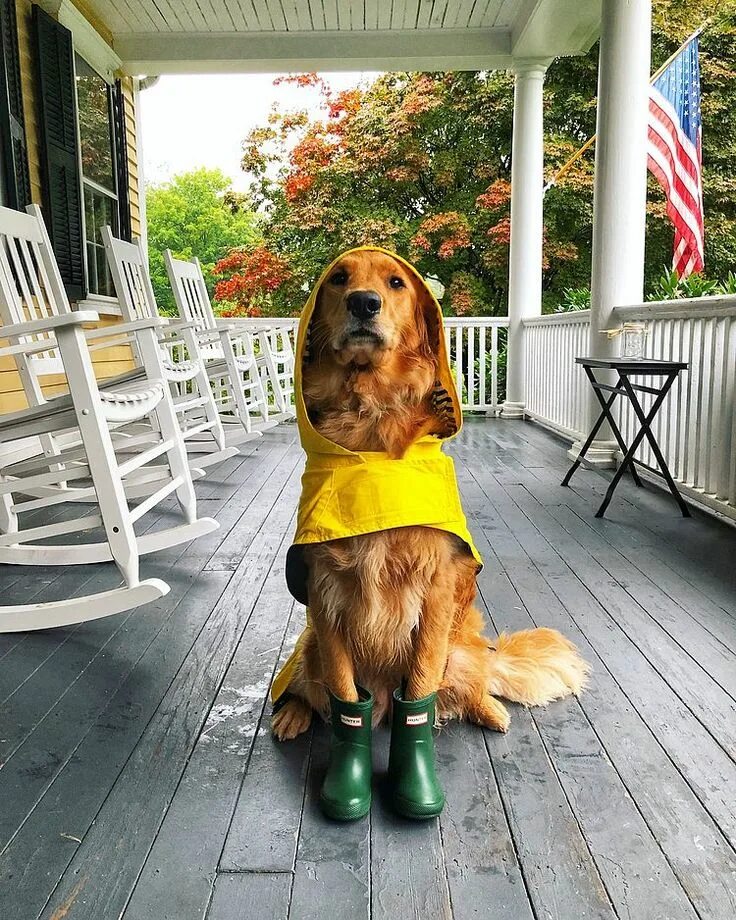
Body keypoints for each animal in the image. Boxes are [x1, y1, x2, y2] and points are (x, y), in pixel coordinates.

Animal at [270, 250, 588, 740]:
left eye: (396, 282)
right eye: (338, 279)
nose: (363, 302)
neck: (371, 421)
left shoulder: (437, 584)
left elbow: (420, 682)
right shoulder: (325, 590)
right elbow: (343, 689)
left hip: (459, 648)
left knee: (471, 684)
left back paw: (491, 711)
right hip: (308, 651)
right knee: (313, 689)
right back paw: (292, 713)